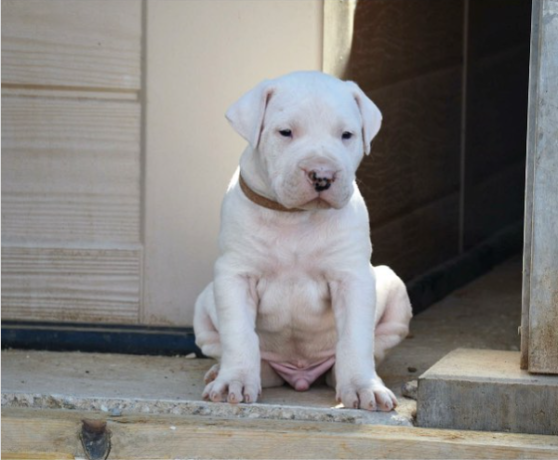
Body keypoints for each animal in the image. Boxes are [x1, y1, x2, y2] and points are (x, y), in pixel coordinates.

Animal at [195, 73, 414, 414]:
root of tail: (299, 376)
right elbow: (239, 333)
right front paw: (234, 381)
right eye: (285, 132)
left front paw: (364, 387)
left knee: (369, 349)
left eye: (347, 135)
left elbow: (355, 337)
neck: (295, 218)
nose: (322, 175)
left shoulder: (352, 279)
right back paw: (224, 371)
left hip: (394, 288)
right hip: (204, 303)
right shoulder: (235, 275)